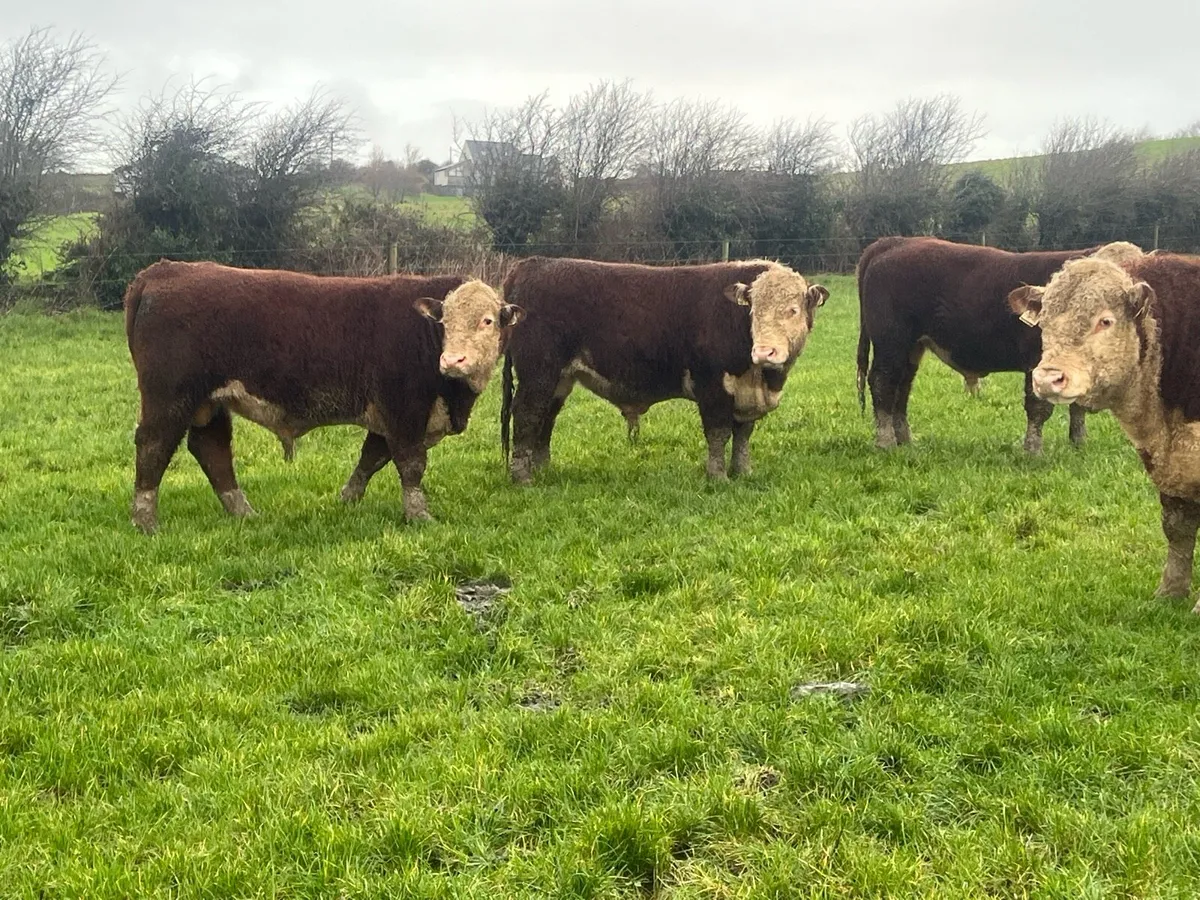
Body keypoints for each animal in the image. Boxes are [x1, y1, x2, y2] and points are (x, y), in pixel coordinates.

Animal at [123, 260, 523, 533]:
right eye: (443, 323)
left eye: (487, 321)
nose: (453, 360)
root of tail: (164, 270)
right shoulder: (403, 410)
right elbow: (410, 464)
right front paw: (420, 516)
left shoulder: (387, 415)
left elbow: (371, 458)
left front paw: (347, 500)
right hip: (169, 397)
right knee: (154, 446)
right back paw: (146, 521)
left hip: (209, 403)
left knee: (212, 450)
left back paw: (244, 512)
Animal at [498, 256, 828, 483]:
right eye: (753, 311)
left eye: (793, 310)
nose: (764, 351)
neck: (762, 379)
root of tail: (533, 264)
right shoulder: (712, 387)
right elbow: (719, 433)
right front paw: (718, 477)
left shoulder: (745, 395)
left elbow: (743, 434)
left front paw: (743, 471)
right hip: (539, 372)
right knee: (527, 414)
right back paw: (523, 478)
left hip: (559, 378)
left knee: (546, 418)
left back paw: (543, 469)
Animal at [855, 237, 1143, 452]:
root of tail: (895, 242)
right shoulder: (1036, 363)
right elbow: (1038, 408)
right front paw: (1033, 449)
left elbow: (1078, 405)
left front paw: (1079, 443)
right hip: (891, 342)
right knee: (882, 383)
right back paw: (886, 442)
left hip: (911, 348)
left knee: (902, 388)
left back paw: (905, 440)